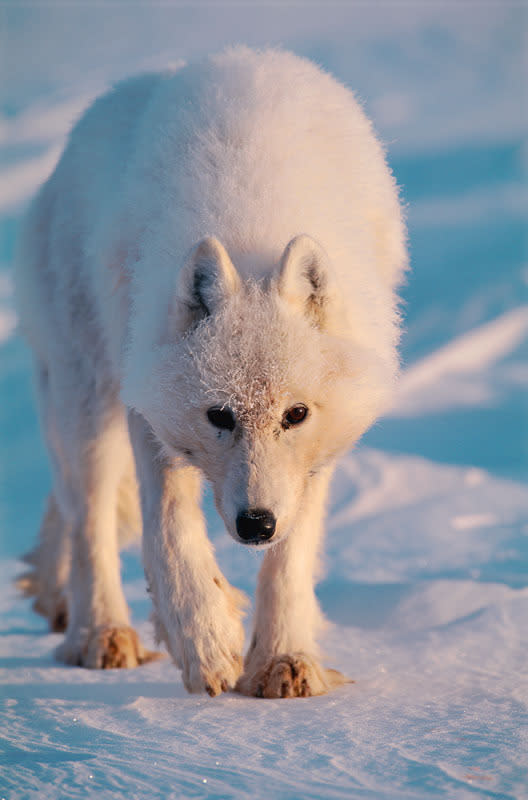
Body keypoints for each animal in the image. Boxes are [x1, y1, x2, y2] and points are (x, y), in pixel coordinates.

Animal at [15, 50, 404, 696]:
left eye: (295, 414)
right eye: (219, 416)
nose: (255, 525)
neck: (252, 223)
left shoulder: (314, 455)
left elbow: (292, 557)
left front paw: (283, 659)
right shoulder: (148, 404)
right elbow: (168, 528)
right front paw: (205, 642)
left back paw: (55, 596)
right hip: (88, 399)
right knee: (88, 518)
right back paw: (100, 634)